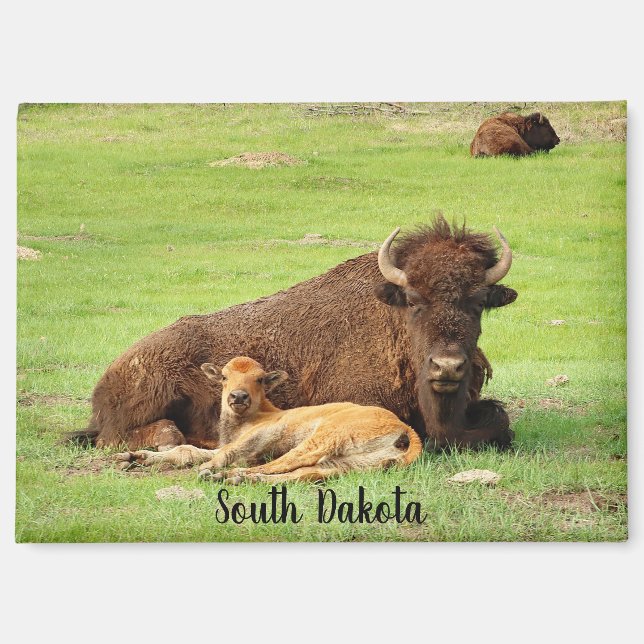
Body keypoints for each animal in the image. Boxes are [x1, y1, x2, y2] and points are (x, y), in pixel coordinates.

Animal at [68, 215, 517, 452]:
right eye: (413, 300)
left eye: (479, 302)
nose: (447, 367)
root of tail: (110, 376)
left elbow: (500, 418)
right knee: (148, 432)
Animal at [115, 356, 423, 483]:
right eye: (223, 376)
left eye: (260, 379)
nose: (238, 396)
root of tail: (403, 427)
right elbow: (187, 450)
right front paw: (134, 457)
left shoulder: (266, 432)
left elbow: (227, 452)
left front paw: (208, 468)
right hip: (350, 464)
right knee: (306, 474)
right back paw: (242, 480)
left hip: (322, 438)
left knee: (286, 464)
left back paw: (229, 476)